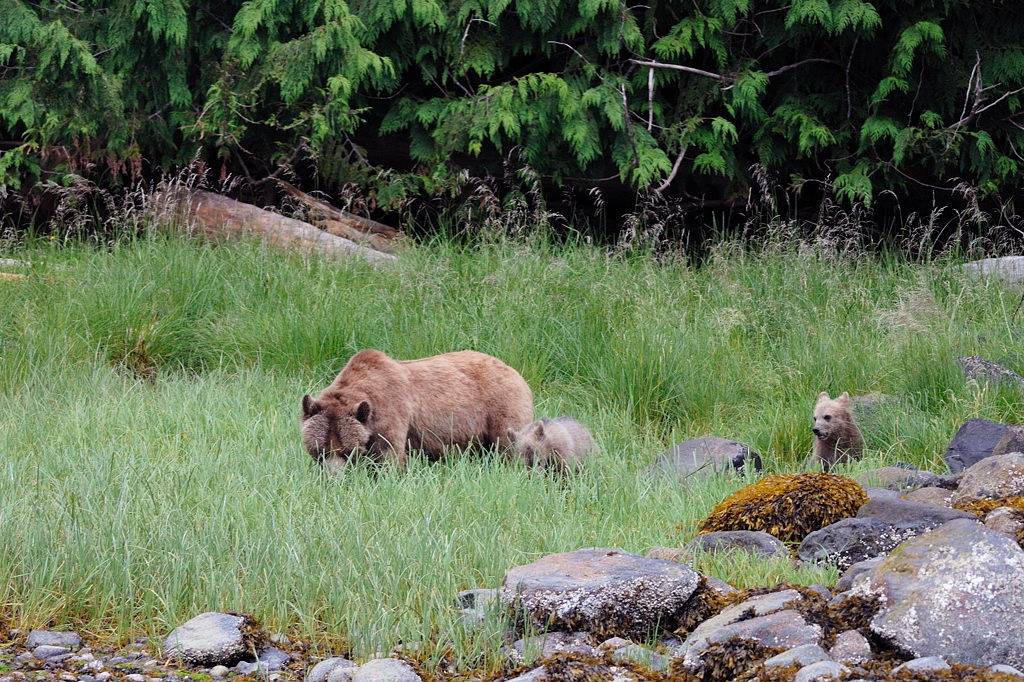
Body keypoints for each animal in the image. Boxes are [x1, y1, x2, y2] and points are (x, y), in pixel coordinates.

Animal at [299, 350, 532, 466]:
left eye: (349, 452)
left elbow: (389, 456)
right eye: (319, 451)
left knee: (508, 446)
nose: (334, 478)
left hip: (500, 407)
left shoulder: (391, 412)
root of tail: (513, 370)